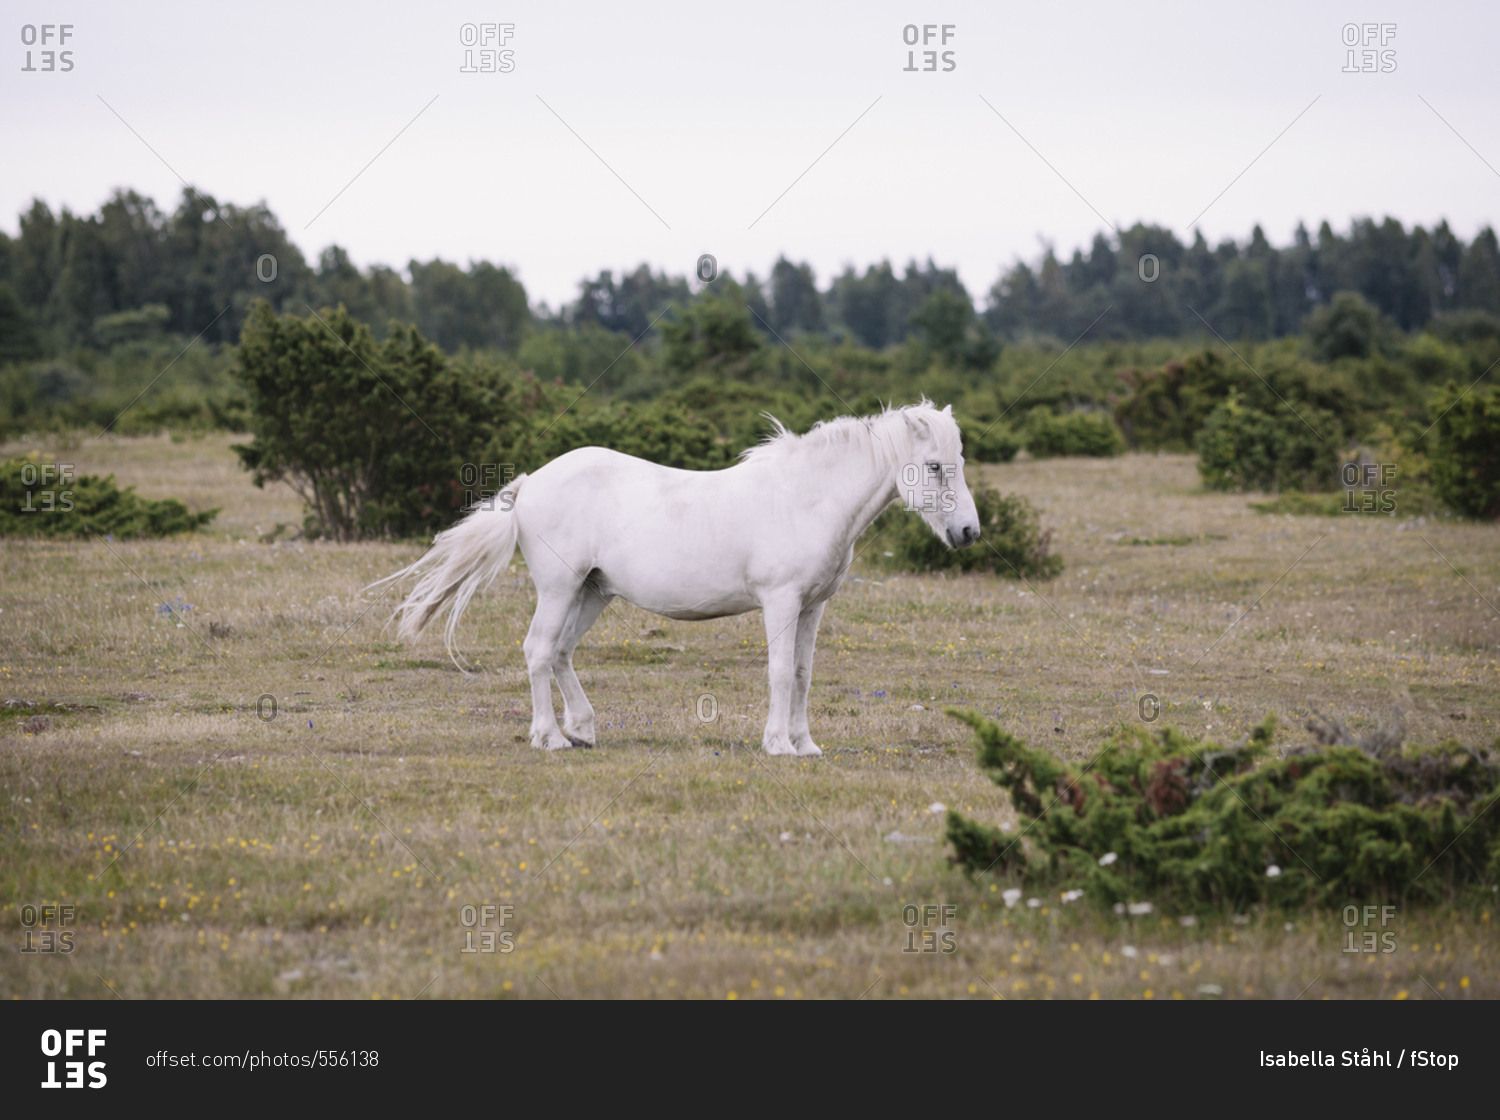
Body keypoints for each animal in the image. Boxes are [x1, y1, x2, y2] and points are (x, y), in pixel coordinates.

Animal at [373, 398, 978, 758]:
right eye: (934, 466)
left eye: (960, 462)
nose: (969, 532)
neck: (807, 497)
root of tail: (530, 482)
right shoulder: (781, 603)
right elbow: (781, 673)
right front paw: (778, 744)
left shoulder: (813, 606)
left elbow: (804, 673)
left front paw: (805, 744)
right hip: (559, 589)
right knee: (539, 650)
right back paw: (550, 738)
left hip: (592, 594)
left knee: (562, 653)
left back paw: (582, 729)